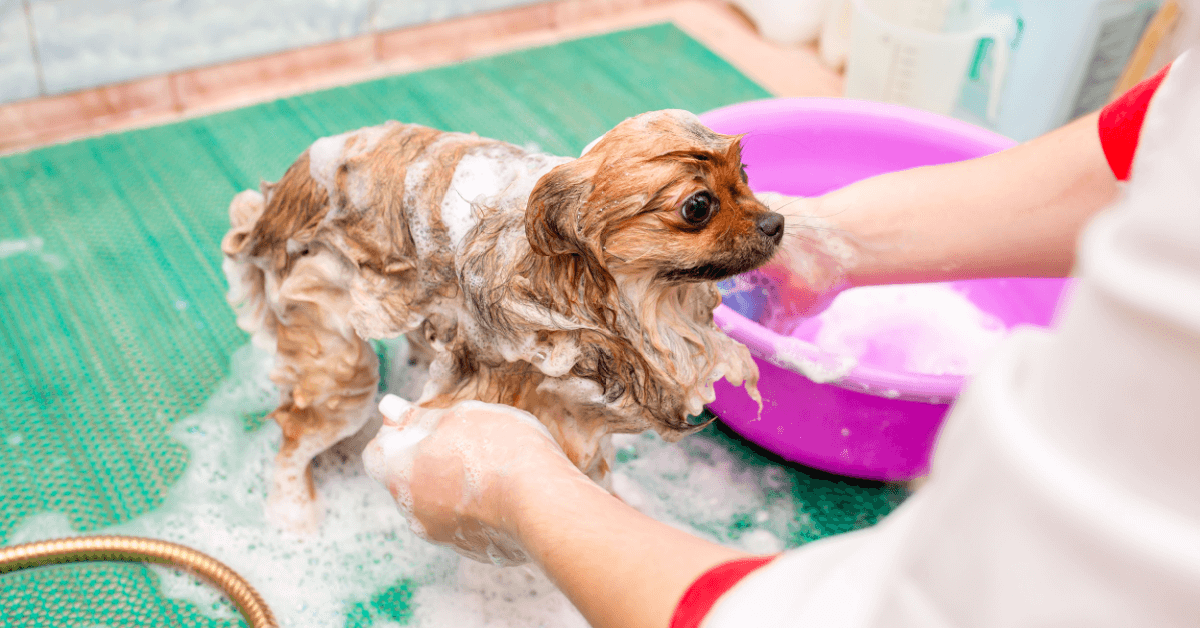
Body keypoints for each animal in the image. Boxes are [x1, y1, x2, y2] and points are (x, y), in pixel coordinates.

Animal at [220, 109, 782, 530]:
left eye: (746, 176)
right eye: (698, 206)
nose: (776, 222)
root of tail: (282, 195)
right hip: (334, 347)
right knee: (301, 428)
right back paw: (294, 515)